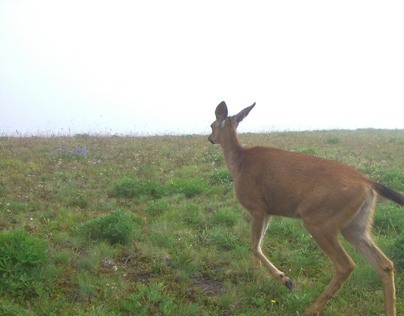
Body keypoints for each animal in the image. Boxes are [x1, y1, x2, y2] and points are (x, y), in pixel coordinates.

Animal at [208, 102, 404, 316]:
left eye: (211, 125)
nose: (210, 138)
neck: (238, 164)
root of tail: (369, 182)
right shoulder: (268, 211)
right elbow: (257, 245)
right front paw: (255, 274)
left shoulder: (257, 206)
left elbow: (254, 245)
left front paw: (285, 279)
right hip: (355, 225)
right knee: (385, 264)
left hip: (319, 220)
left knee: (346, 265)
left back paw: (312, 308)